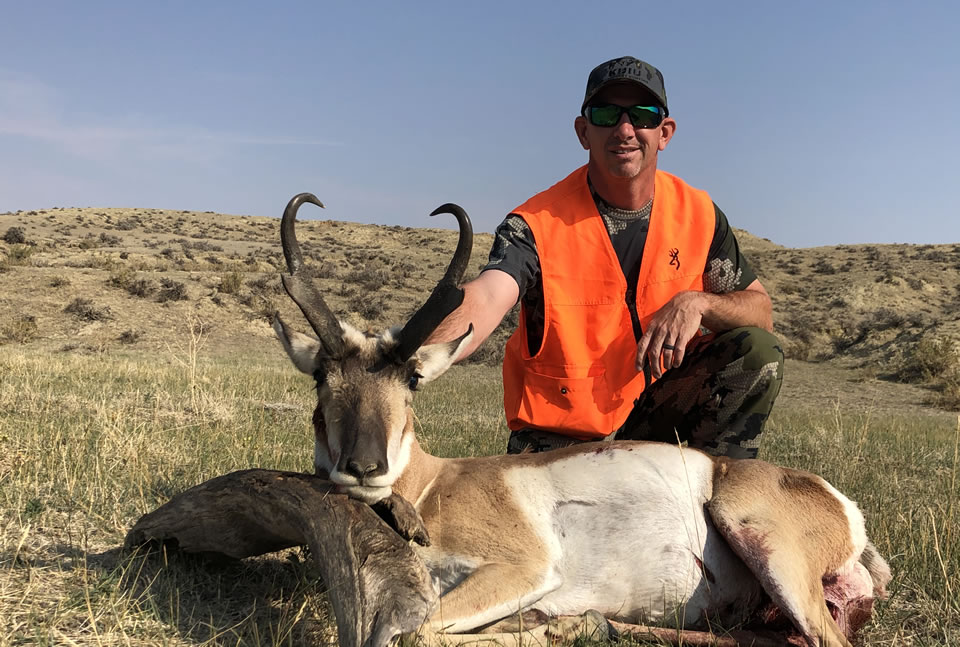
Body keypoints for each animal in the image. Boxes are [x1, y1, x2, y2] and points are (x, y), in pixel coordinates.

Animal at [272, 193, 891, 647]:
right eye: (321, 377)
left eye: (412, 380)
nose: (363, 467)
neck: (433, 485)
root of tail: (837, 502)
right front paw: (558, 623)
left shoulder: (523, 569)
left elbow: (418, 632)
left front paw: (547, 625)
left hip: (757, 535)